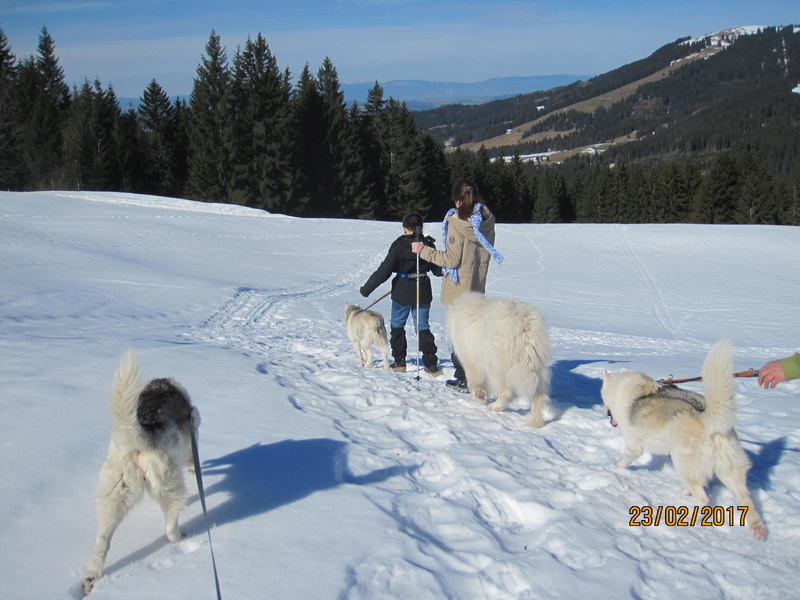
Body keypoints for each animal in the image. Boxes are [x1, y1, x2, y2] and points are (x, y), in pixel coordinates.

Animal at [82, 352, 200, 596]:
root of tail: (140, 436)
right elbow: (193, 459)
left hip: (114, 494)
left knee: (102, 540)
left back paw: (91, 578)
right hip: (170, 485)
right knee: (169, 527)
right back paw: (180, 537)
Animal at [444, 292, 552, 426]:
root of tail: (524, 323)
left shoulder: (470, 356)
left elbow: (474, 379)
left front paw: (478, 395)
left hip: (496, 363)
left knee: (505, 392)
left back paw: (494, 406)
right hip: (537, 365)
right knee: (538, 395)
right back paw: (535, 422)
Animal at [604, 340, 764, 540]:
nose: (608, 416)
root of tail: (708, 419)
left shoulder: (634, 445)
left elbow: (626, 458)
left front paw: (616, 466)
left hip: (683, 463)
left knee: (703, 499)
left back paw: (688, 520)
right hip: (729, 472)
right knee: (745, 498)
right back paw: (757, 528)